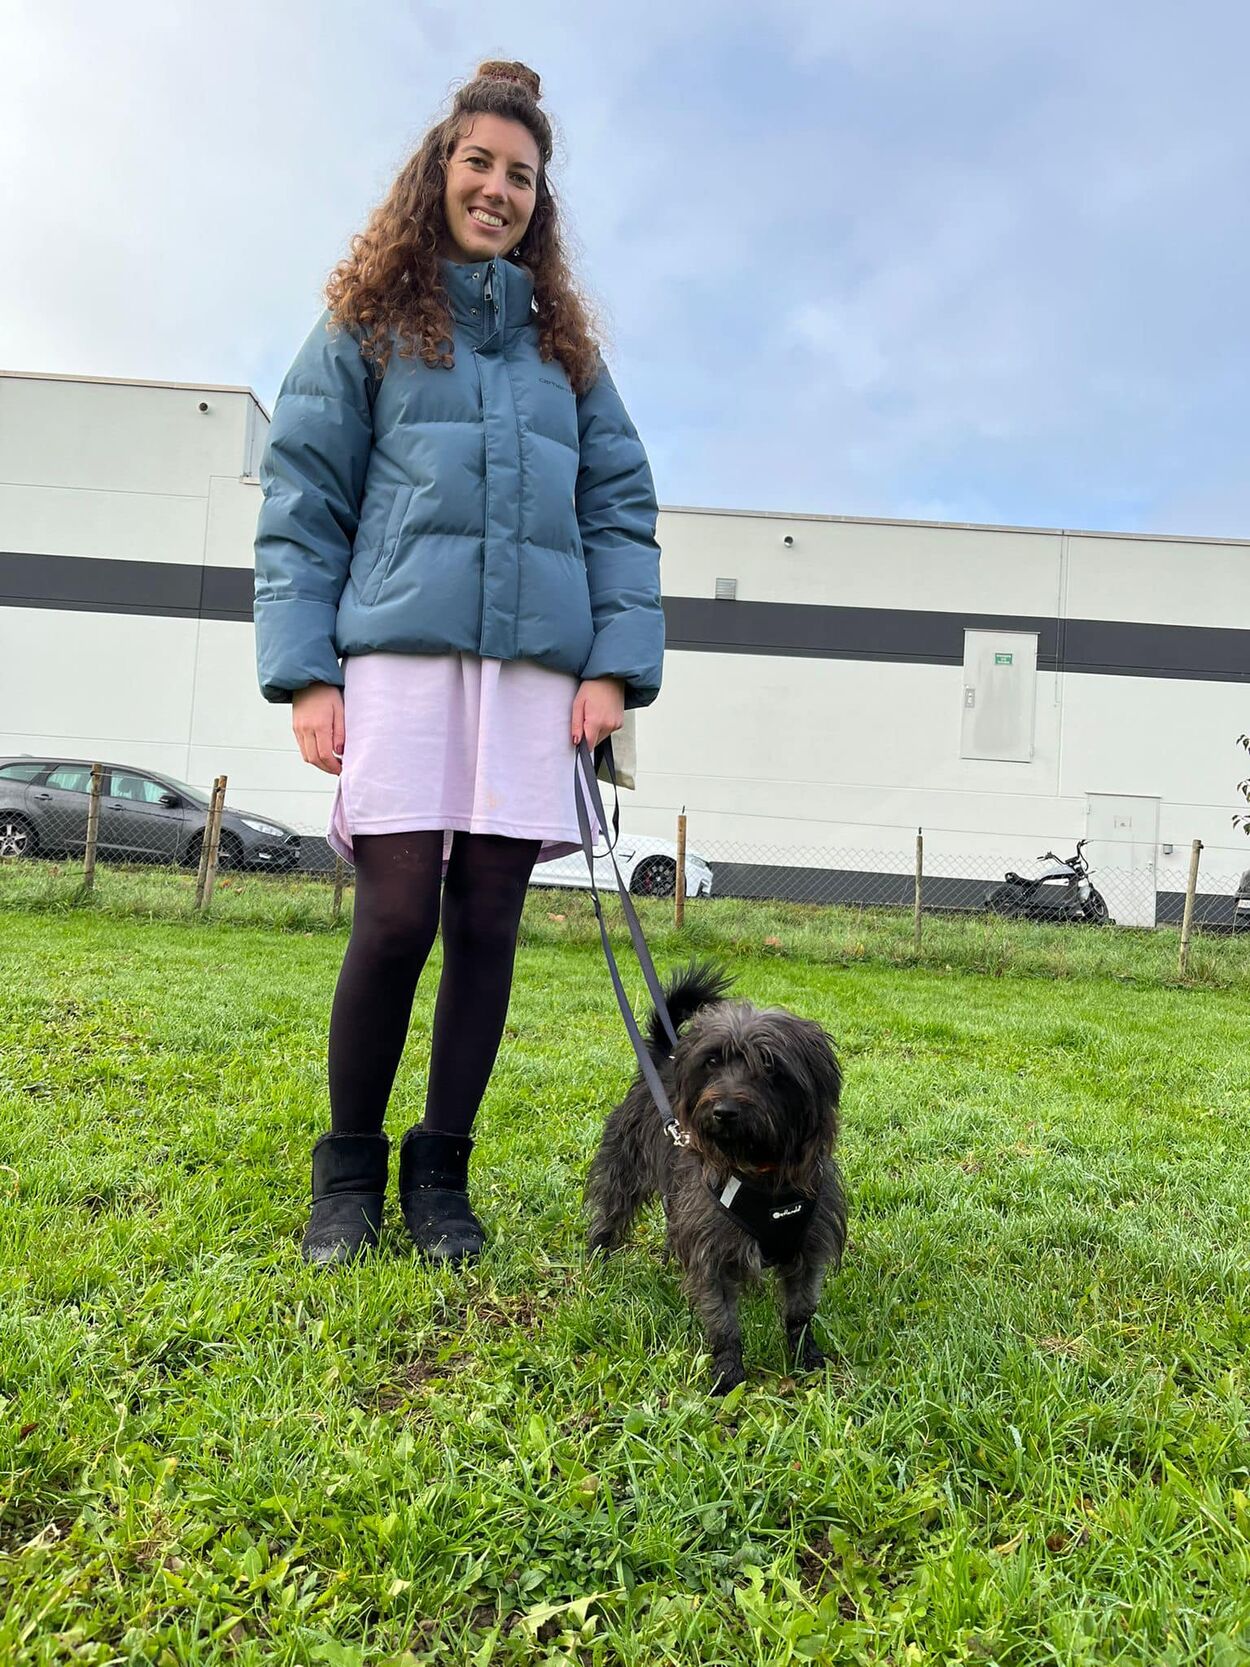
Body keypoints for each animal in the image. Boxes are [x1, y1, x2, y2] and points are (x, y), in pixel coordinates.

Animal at [585, 959, 845, 1394]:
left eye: (770, 1066)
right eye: (711, 1063)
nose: (723, 1111)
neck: (760, 1172)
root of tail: (662, 1059)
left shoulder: (807, 1251)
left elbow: (800, 1312)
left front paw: (805, 1357)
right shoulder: (712, 1255)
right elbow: (723, 1324)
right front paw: (728, 1376)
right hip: (625, 1171)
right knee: (610, 1211)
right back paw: (596, 1258)